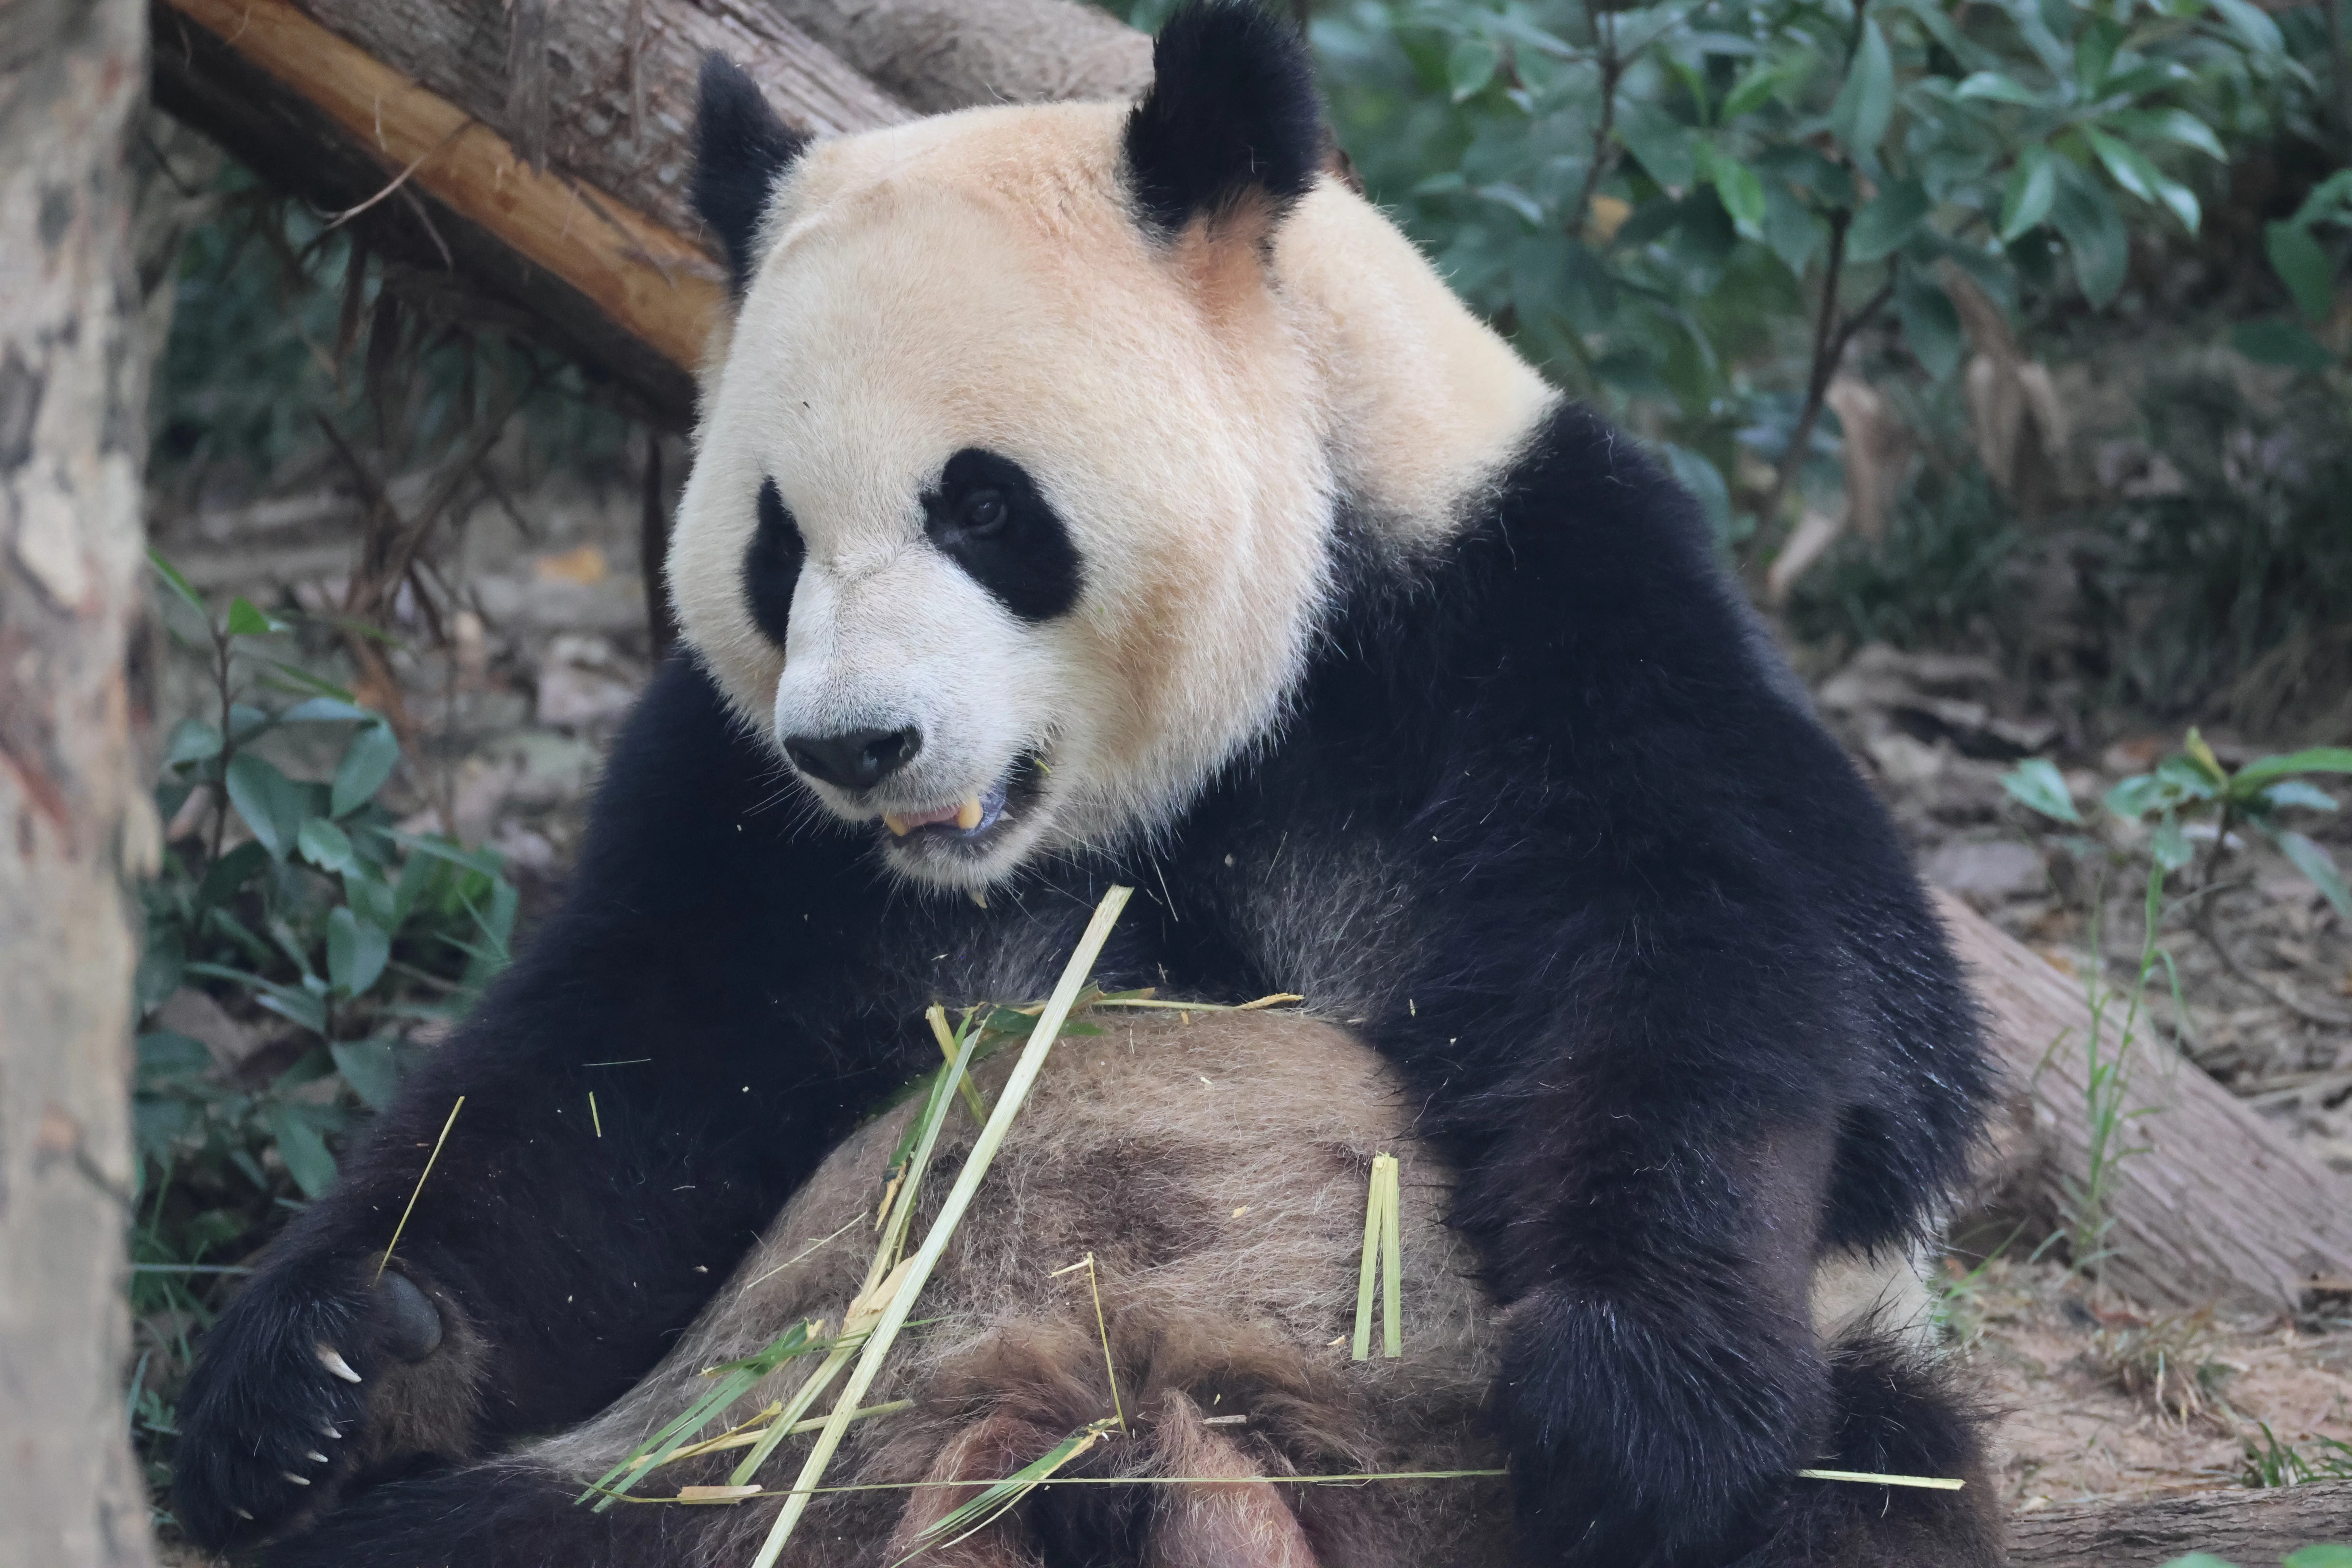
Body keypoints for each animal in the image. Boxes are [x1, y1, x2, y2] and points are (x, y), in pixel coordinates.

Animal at [171, 6, 2000, 1566]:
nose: (854, 747)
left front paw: (1632, 1407)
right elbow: (613, 1080)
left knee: (1865, 1485)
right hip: (716, 1467)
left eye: (984, 508)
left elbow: (1733, 970)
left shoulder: (1528, 622)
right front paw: (317, 1376)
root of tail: (1090, 1427)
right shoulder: (746, 817)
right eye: (774, 542)